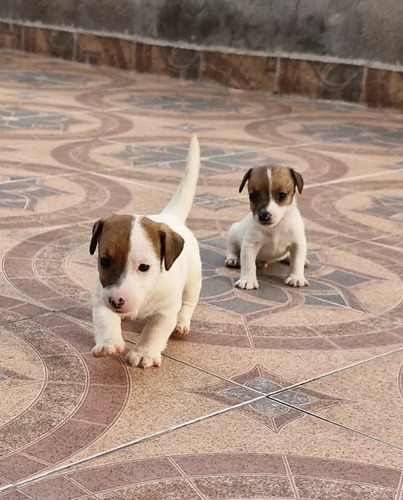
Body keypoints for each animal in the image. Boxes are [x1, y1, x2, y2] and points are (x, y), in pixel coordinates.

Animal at [89, 135, 202, 370]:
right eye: (104, 261)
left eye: (144, 267)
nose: (117, 301)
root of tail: (170, 216)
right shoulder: (101, 297)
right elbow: (105, 321)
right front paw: (108, 344)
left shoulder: (165, 311)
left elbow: (154, 332)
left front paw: (144, 353)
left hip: (194, 280)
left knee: (188, 303)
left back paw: (182, 322)